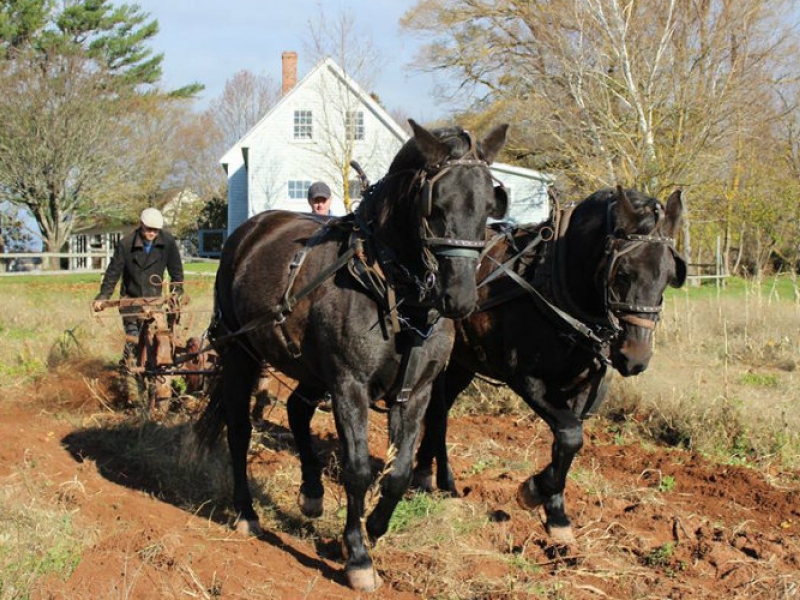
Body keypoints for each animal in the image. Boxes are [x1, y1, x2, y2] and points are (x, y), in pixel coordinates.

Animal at [195, 120, 506, 592]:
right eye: (436, 205)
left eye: (490, 203)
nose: (461, 299)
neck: (393, 292)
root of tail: (250, 231)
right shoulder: (349, 385)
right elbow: (357, 468)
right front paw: (357, 555)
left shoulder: (416, 390)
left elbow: (398, 472)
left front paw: (374, 527)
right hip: (239, 353)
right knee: (240, 430)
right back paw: (247, 513)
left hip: (308, 368)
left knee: (296, 409)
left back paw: (311, 494)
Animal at [412, 186, 688, 544]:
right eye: (624, 272)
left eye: (668, 276)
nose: (635, 358)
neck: (555, 283)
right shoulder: (527, 380)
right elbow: (570, 435)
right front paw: (532, 491)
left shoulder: (581, 389)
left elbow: (566, 443)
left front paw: (556, 514)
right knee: (433, 410)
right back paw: (427, 480)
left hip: (462, 363)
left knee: (439, 410)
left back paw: (438, 481)